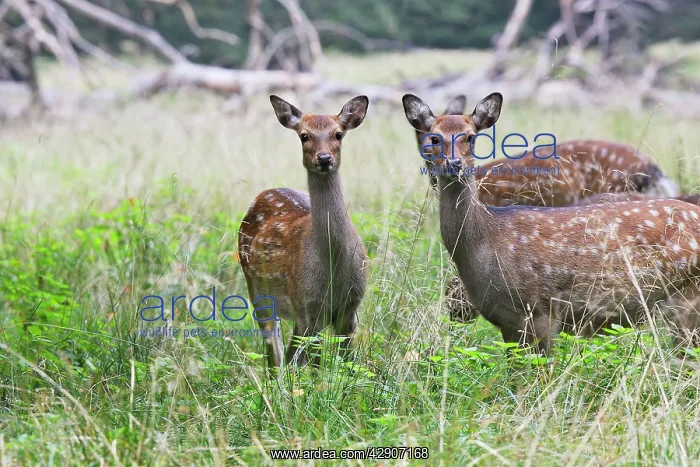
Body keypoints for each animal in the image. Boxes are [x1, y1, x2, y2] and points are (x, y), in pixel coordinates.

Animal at [237, 95, 370, 368]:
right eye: (304, 136)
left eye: (338, 133)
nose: (324, 158)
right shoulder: (308, 306)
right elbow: (316, 368)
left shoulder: (350, 309)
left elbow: (347, 365)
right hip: (257, 291)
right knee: (275, 354)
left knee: (289, 355)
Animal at [403, 92, 700, 353]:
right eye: (434, 137)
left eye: (471, 137)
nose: (454, 164)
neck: (488, 240)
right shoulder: (507, 323)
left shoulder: (542, 310)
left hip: (687, 299)